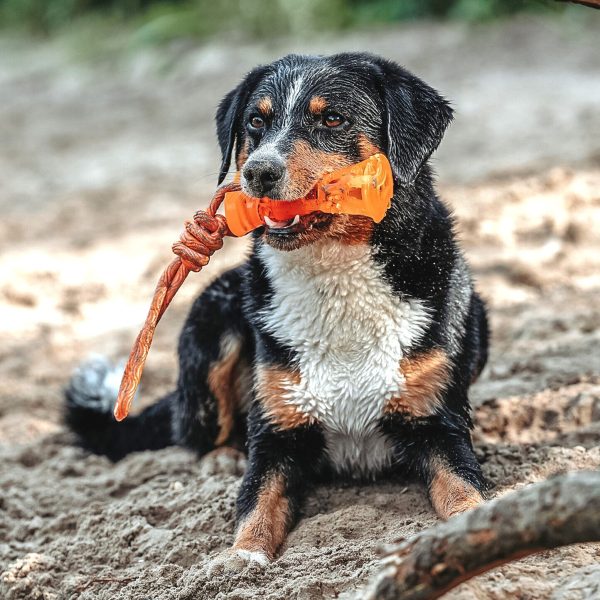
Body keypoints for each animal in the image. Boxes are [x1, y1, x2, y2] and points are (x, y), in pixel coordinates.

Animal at [67, 54, 488, 564]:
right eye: (256, 122)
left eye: (332, 119)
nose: (259, 172)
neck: (334, 281)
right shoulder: (277, 434)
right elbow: (257, 505)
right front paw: (240, 561)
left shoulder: (438, 421)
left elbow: (463, 489)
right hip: (214, 330)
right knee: (194, 430)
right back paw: (223, 457)